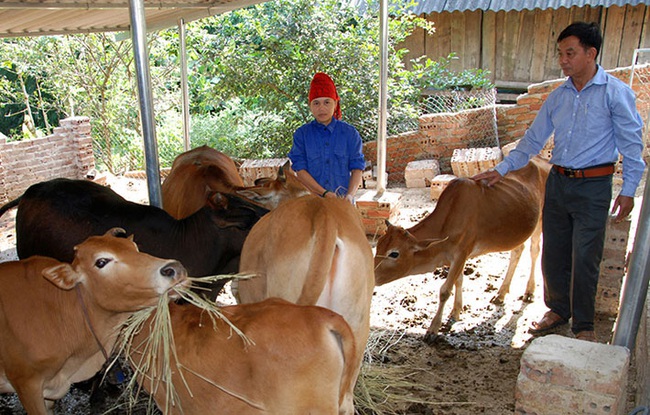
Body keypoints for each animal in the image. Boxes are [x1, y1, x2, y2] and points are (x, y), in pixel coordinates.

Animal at [372, 157, 548, 344]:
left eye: (394, 253)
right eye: (378, 245)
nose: (371, 275)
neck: (447, 221)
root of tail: (541, 160)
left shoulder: (461, 253)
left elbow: (444, 290)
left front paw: (433, 329)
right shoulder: (456, 257)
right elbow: (459, 281)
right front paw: (456, 311)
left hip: (540, 220)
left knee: (535, 250)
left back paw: (529, 291)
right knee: (517, 250)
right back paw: (501, 293)